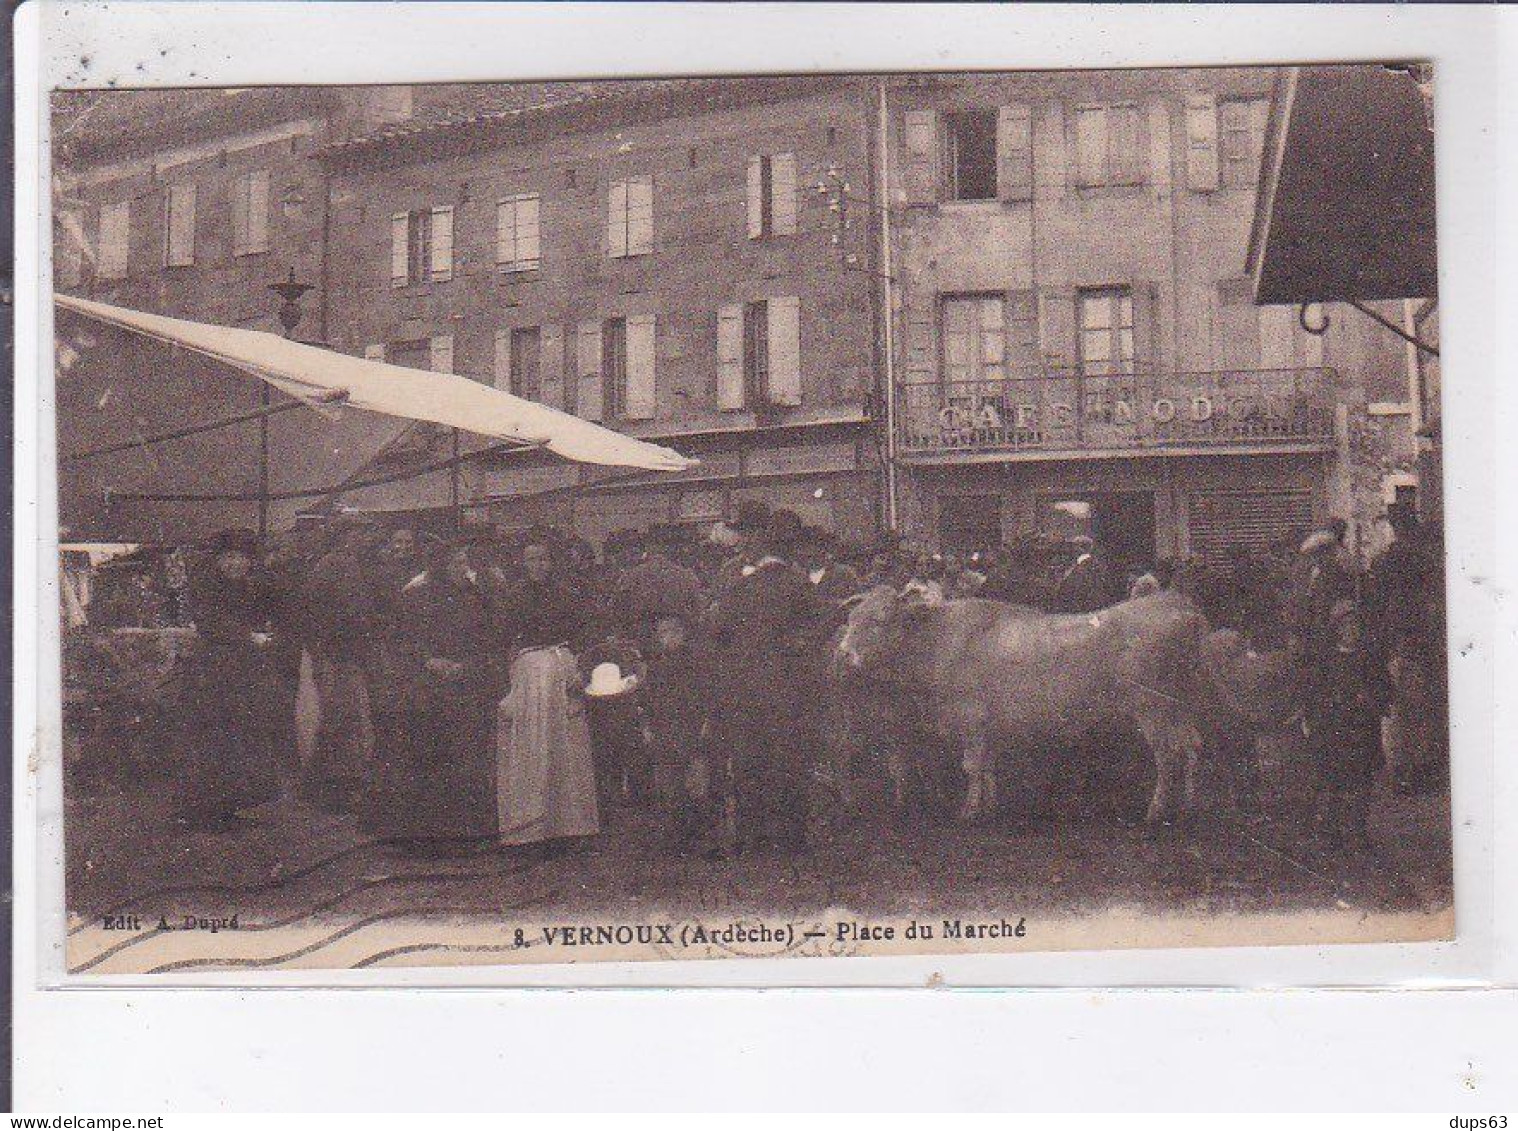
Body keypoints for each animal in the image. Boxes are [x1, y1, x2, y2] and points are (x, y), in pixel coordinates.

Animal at [837, 585, 1214, 825]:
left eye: (880, 618)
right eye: (852, 617)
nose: (843, 653)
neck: (940, 639)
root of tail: (1179, 605)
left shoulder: (970, 717)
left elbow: (972, 766)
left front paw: (969, 812)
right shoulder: (986, 725)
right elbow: (987, 767)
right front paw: (988, 808)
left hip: (1153, 707)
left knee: (1168, 755)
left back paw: (1156, 811)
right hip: (1181, 705)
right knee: (1192, 747)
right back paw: (1188, 807)